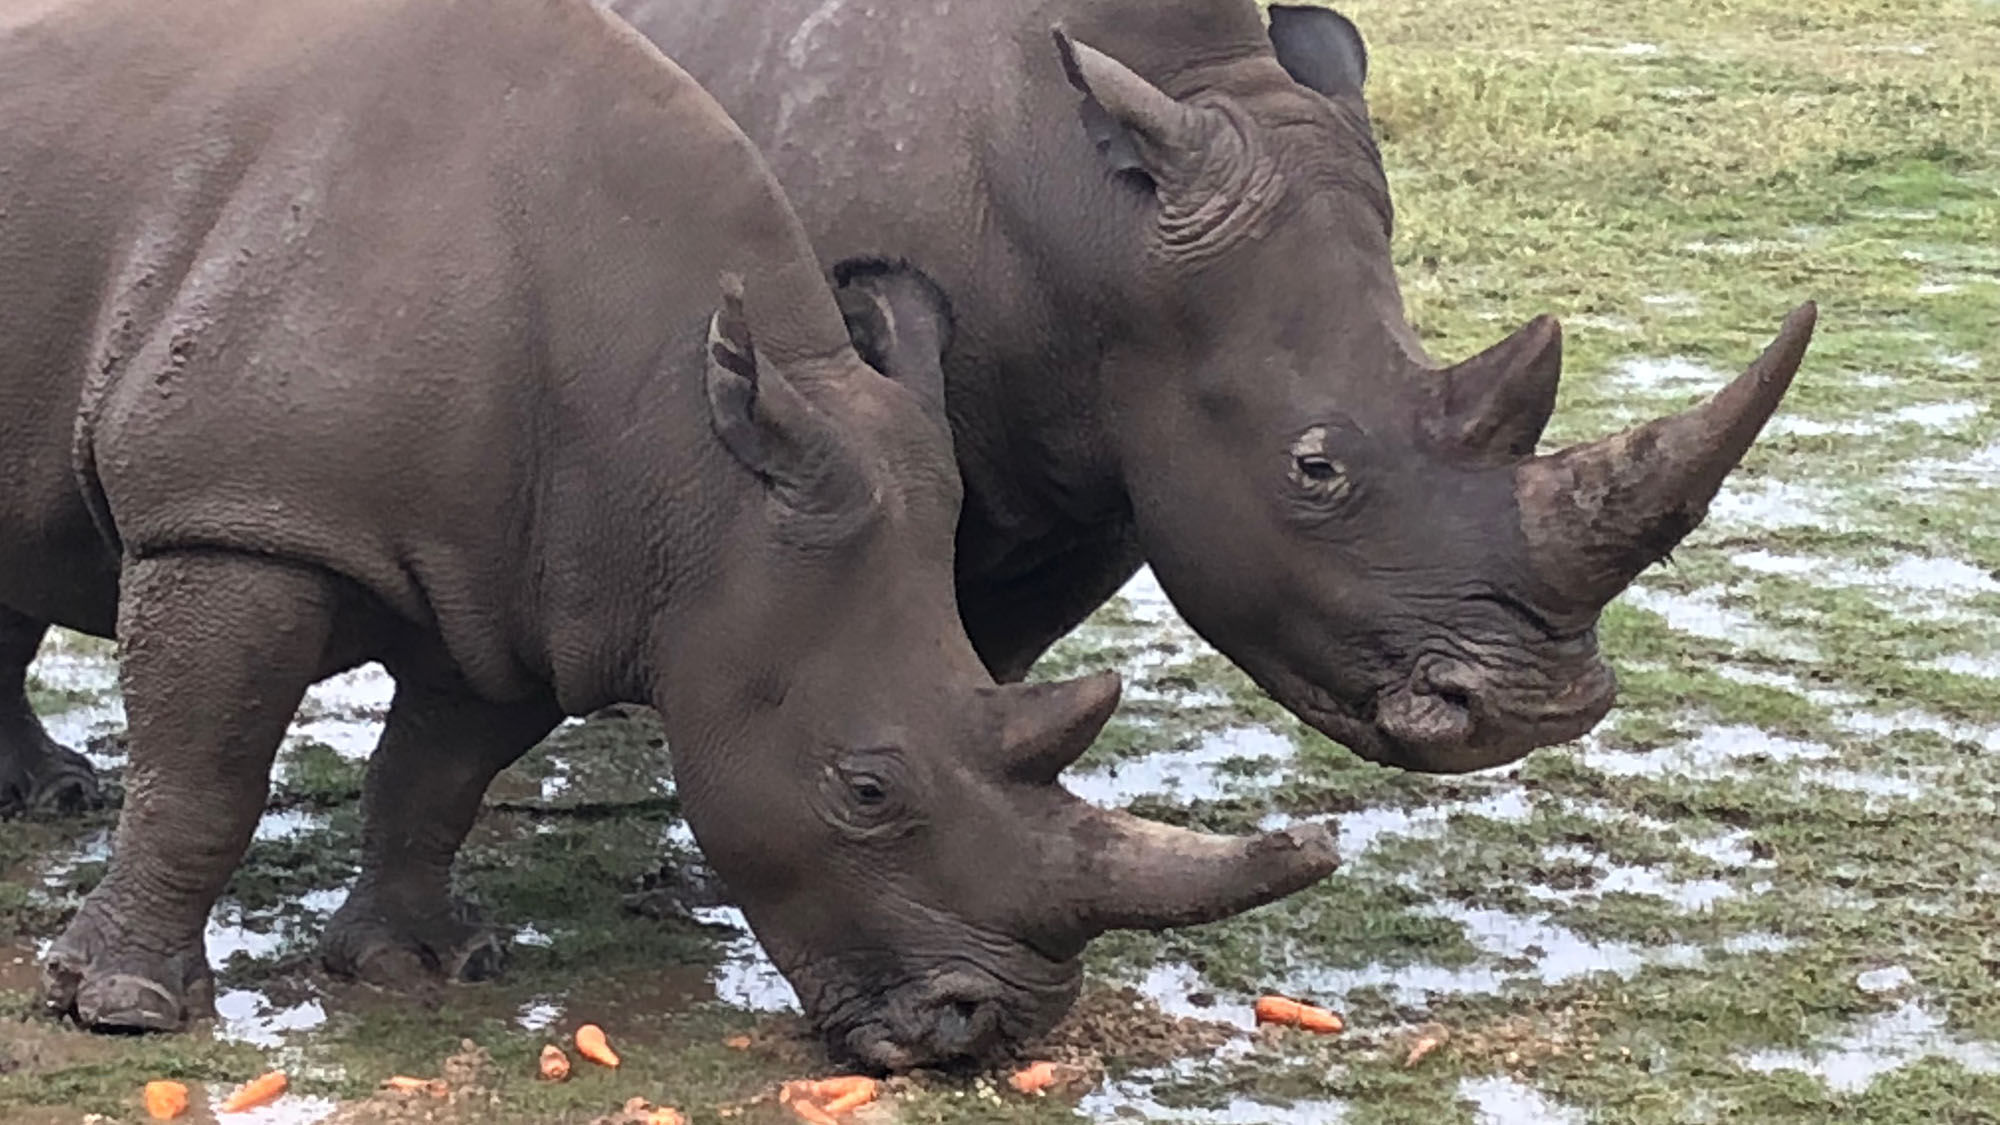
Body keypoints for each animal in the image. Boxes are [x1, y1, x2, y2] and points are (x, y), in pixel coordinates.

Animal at [0, 0, 1337, 1066]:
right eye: (864, 788)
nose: (983, 1028)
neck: (684, 458)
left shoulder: (528, 580)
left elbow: (433, 772)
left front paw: (421, 967)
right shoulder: (243, 515)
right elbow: (206, 769)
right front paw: (119, 1008)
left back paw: (47, 799)